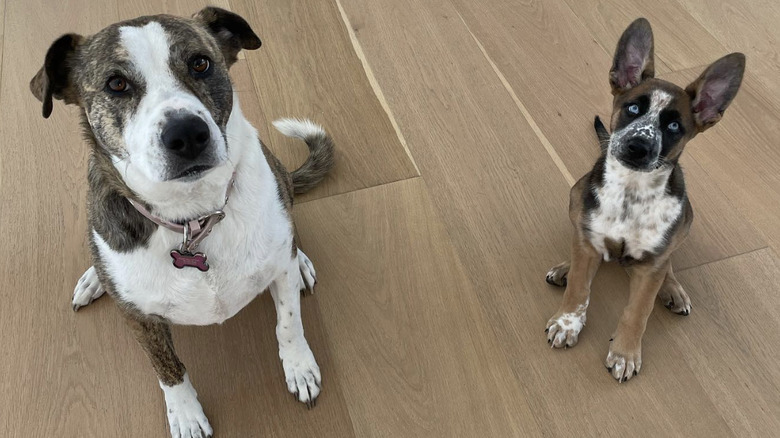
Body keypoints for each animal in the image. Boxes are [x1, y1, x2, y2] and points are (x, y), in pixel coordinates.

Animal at [30, 7, 334, 438]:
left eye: (200, 63)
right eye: (116, 84)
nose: (187, 134)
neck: (193, 218)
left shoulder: (279, 273)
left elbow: (288, 323)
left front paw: (299, 367)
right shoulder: (142, 321)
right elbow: (168, 369)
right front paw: (187, 415)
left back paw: (302, 261)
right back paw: (93, 278)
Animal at [544, 18, 748, 380]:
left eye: (674, 127)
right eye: (633, 108)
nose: (638, 146)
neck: (631, 193)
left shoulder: (652, 264)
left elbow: (638, 311)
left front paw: (625, 352)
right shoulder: (589, 240)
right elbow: (580, 288)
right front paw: (567, 322)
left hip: (685, 221)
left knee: (667, 262)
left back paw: (672, 288)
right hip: (576, 194)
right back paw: (566, 266)